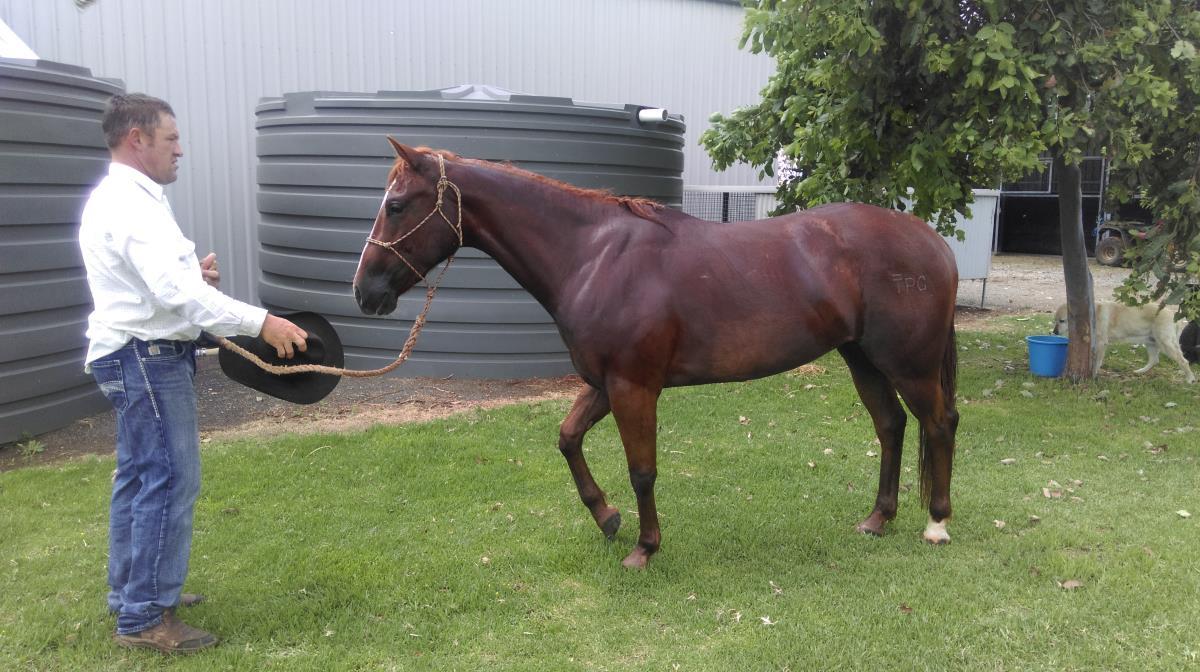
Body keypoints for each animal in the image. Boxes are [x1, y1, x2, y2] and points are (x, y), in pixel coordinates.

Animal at [353, 139, 960, 569]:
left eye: (397, 205)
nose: (365, 293)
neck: (593, 255)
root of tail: (931, 241)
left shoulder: (633, 387)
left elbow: (642, 468)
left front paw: (644, 547)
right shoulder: (603, 383)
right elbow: (568, 438)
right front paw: (607, 517)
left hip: (909, 364)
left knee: (938, 424)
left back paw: (936, 524)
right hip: (862, 358)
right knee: (891, 426)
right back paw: (878, 519)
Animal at [1053, 302, 1196, 384]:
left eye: (1062, 321)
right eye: (1055, 320)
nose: (1054, 332)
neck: (1092, 316)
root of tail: (1173, 314)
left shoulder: (1101, 344)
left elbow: (1097, 362)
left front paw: (1093, 375)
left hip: (1165, 343)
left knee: (1183, 361)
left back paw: (1190, 379)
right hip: (1151, 342)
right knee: (1154, 360)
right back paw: (1140, 372)